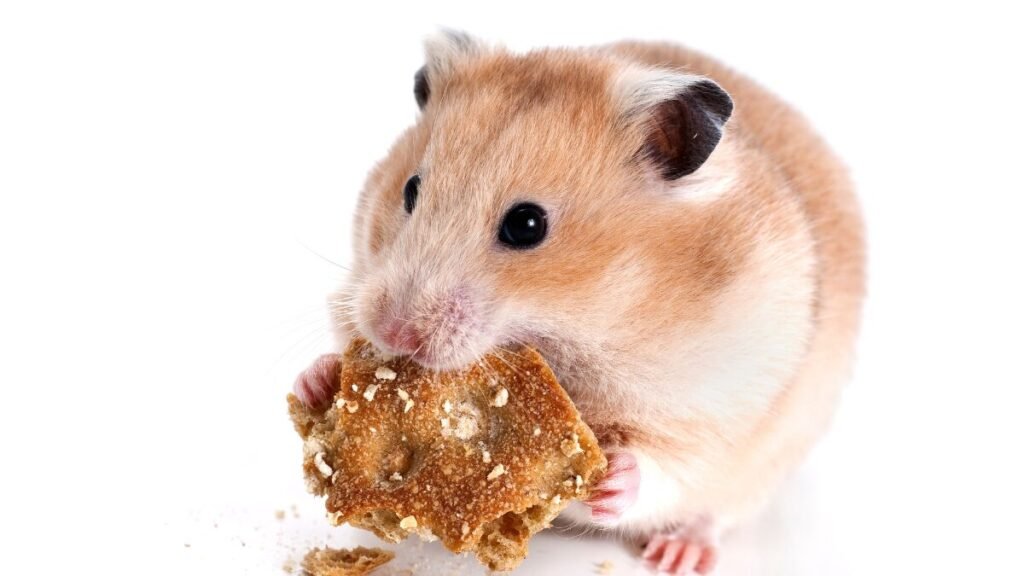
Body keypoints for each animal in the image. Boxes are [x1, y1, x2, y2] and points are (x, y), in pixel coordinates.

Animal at [294, 31, 865, 575]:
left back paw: (679, 555)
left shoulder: (714, 409)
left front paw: (611, 478)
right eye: (410, 190)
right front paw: (319, 379)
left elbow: (663, 468)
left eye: (527, 225)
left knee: (713, 513)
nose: (395, 334)